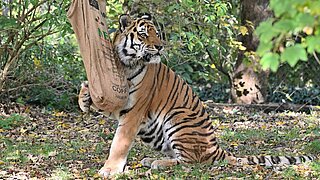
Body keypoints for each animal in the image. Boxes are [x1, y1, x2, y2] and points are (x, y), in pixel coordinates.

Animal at [78, 13, 316, 177]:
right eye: (144, 34)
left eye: (157, 34)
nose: (160, 46)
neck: (126, 64)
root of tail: (218, 149)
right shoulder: (119, 100)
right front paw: (84, 97)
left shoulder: (134, 110)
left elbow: (120, 142)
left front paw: (109, 170)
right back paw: (150, 159)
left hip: (179, 118)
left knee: (192, 161)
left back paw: (157, 163)